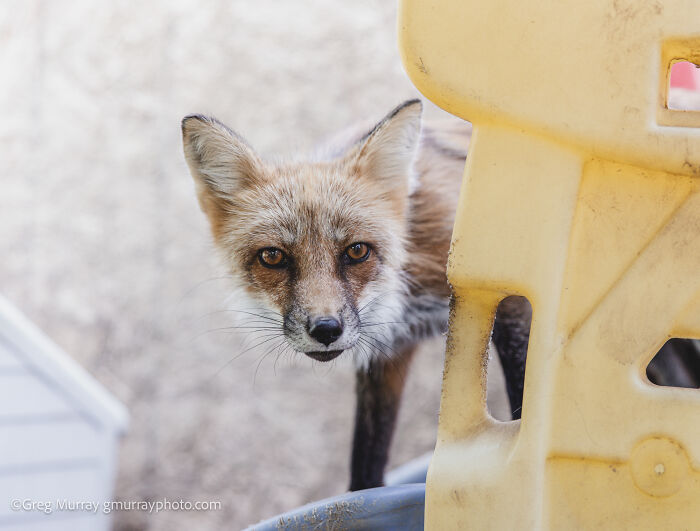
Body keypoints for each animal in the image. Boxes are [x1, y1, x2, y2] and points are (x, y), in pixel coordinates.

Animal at [181, 99, 700, 491]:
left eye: (356, 251)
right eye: (272, 258)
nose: (326, 329)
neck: (409, 275)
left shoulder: (514, 304)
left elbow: (522, 408)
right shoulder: (387, 352)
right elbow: (365, 465)